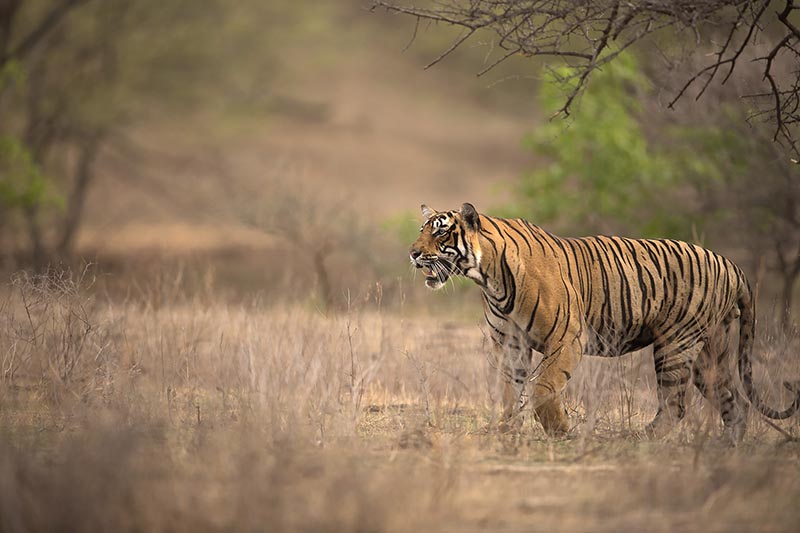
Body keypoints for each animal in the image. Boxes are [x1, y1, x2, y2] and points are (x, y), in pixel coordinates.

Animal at [409, 202, 800, 443]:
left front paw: (561, 431)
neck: (488, 277)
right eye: (421, 230)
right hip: (709, 355)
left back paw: (640, 439)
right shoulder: (510, 345)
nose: (412, 253)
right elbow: (509, 391)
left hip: (676, 346)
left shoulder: (567, 339)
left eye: (440, 233)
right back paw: (726, 447)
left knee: (675, 404)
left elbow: (543, 388)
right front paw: (506, 430)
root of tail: (732, 265)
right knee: (734, 402)